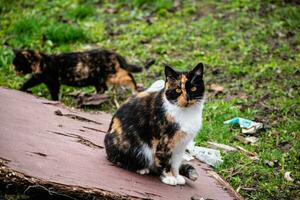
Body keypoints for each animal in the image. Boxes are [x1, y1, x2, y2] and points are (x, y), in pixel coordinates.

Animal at [12, 49, 154, 100]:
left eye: (17, 64)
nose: (13, 69)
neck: (41, 61)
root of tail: (112, 52)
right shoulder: (39, 78)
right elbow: (29, 82)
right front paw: (21, 88)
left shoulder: (52, 81)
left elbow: (54, 92)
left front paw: (54, 100)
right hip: (98, 78)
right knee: (102, 88)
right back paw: (91, 95)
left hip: (113, 74)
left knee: (128, 75)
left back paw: (135, 89)